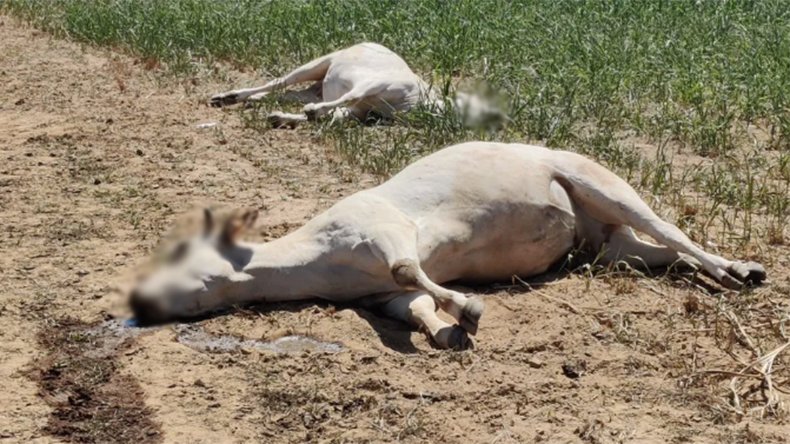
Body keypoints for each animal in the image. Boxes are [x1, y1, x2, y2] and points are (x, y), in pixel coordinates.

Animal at [130, 140, 768, 348]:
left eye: (179, 253)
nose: (137, 304)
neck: (314, 258)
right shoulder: (375, 297)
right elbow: (410, 304)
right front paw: (446, 330)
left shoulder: (384, 229)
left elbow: (409, 271)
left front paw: (470, 309)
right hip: (608, 246)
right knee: (663, 253)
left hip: (602, 184)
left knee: (673, 231)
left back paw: (741, 271)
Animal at [209, 42, 508, 128]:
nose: (500, 120)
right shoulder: (372, 85)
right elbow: (344, 100)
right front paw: (311, 113)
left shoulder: (363, 111)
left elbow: (338, 114)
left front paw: (287, 118)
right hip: (316, 65)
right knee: (280, 82)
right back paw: (226, 97)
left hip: (314, 88)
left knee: (289, 95)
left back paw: (264, 107)